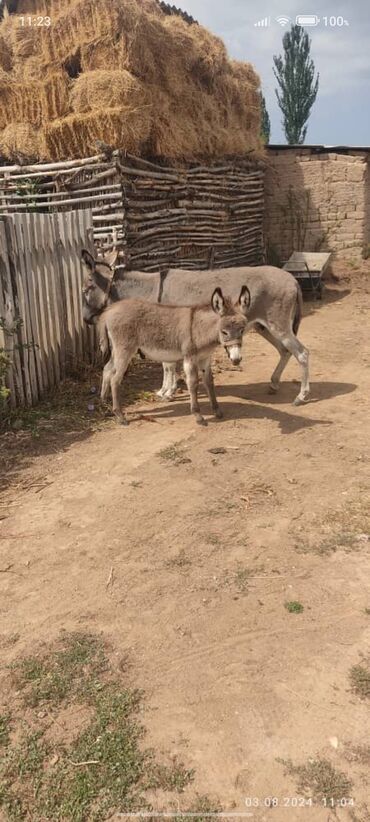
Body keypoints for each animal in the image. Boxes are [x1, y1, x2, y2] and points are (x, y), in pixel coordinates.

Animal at [99, 288, 249, 424]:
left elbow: (209, 382)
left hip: (117, 350)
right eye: (224, 332)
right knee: (115, 379)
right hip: (124, 350)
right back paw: (120, 416)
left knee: (107, 369)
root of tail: (109, 310)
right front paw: (198, 416)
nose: (236, 360)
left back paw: (105, 405)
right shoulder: (189, 358)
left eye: (242, 330)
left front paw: (217, 411)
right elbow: (193, 383)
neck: (199, 329)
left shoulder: (205, 359)